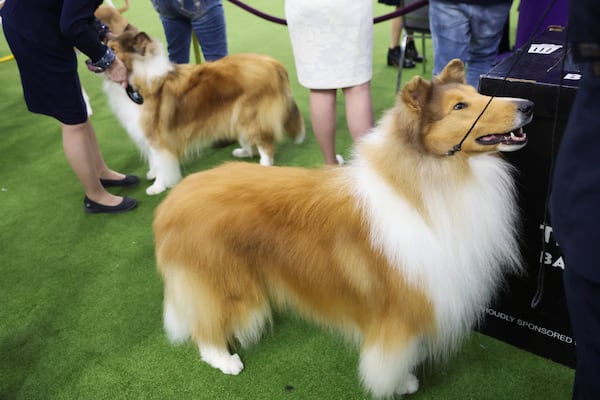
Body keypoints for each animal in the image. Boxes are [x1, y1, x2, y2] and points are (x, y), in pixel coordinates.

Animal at [102, 28, 304, 195]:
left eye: (113, 49)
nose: (95, 61)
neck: (137, 77)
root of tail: (273, 63)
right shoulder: (147, 135)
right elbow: (154, 160)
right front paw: (153, 174)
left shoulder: (156, 136)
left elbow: (161, 161)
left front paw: (158, 186)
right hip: (237, 116)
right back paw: (243, 153)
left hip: (250, 115)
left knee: (265, 144)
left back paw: (264, 166)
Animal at [152, 60, 532, 400]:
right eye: (459, 106)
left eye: (477, 93)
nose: (527, 106)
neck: (432, 178)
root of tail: (172, 203)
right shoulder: (399, 309)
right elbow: (394, 356)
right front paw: (403, 383)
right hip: (225, 282)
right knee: (206, 325)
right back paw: (225, 360)